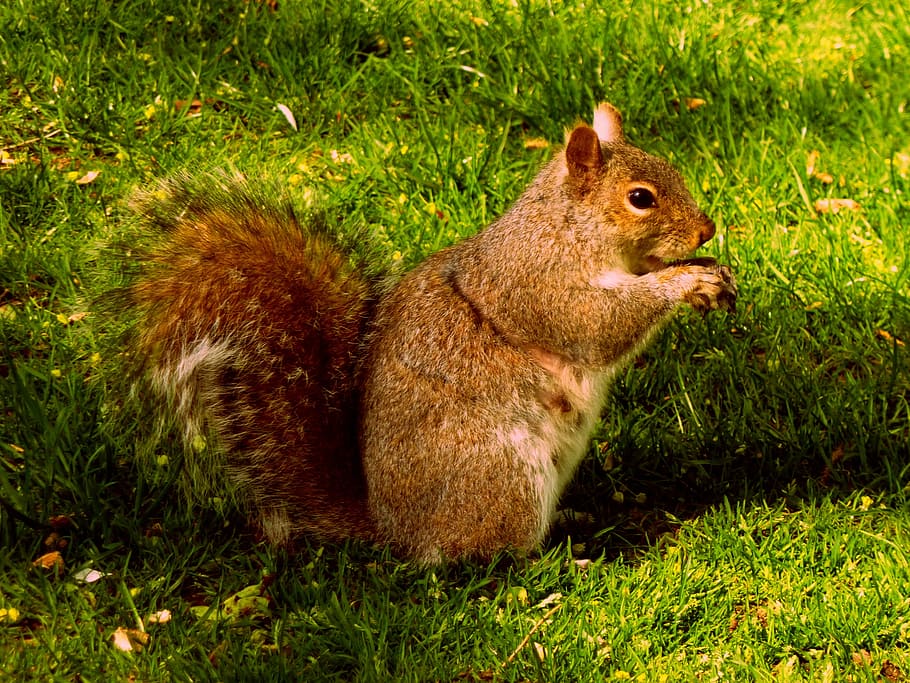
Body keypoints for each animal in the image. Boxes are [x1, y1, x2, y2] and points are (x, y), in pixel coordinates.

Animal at [120, 102, 737, 565]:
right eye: (640, 198)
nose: (707, 229)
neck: (566, 229)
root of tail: (394, 530)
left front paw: (706, 269)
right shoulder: (541, 286)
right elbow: (598, 325)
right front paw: (685, 281)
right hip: (501, 475)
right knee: (487, 554)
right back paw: (567, 558)